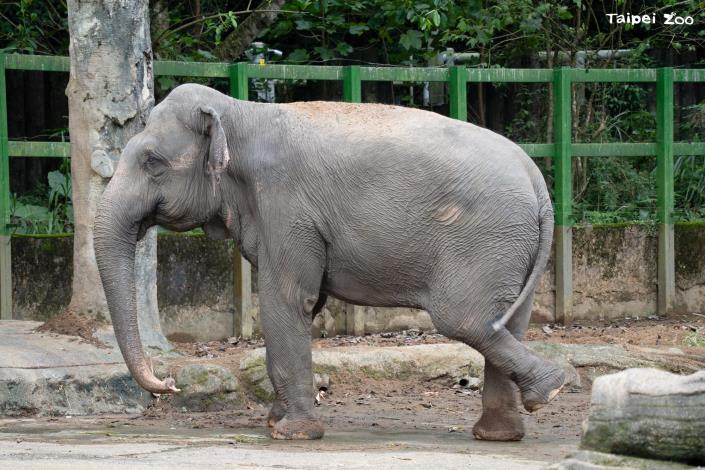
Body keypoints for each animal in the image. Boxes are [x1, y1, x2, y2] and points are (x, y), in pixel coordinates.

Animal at [94, 83, 565, 441]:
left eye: (152, 161)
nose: (169, 383)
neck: (241, 111)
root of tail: (538, 183)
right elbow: (308, 301)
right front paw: (276, 422)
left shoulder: (286, 206)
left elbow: (288, 300)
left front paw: (293, 433)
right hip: (509, 246)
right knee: (506, 322)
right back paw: (505, 429)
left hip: (485, 240)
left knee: (464, 319)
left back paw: (549, 393)